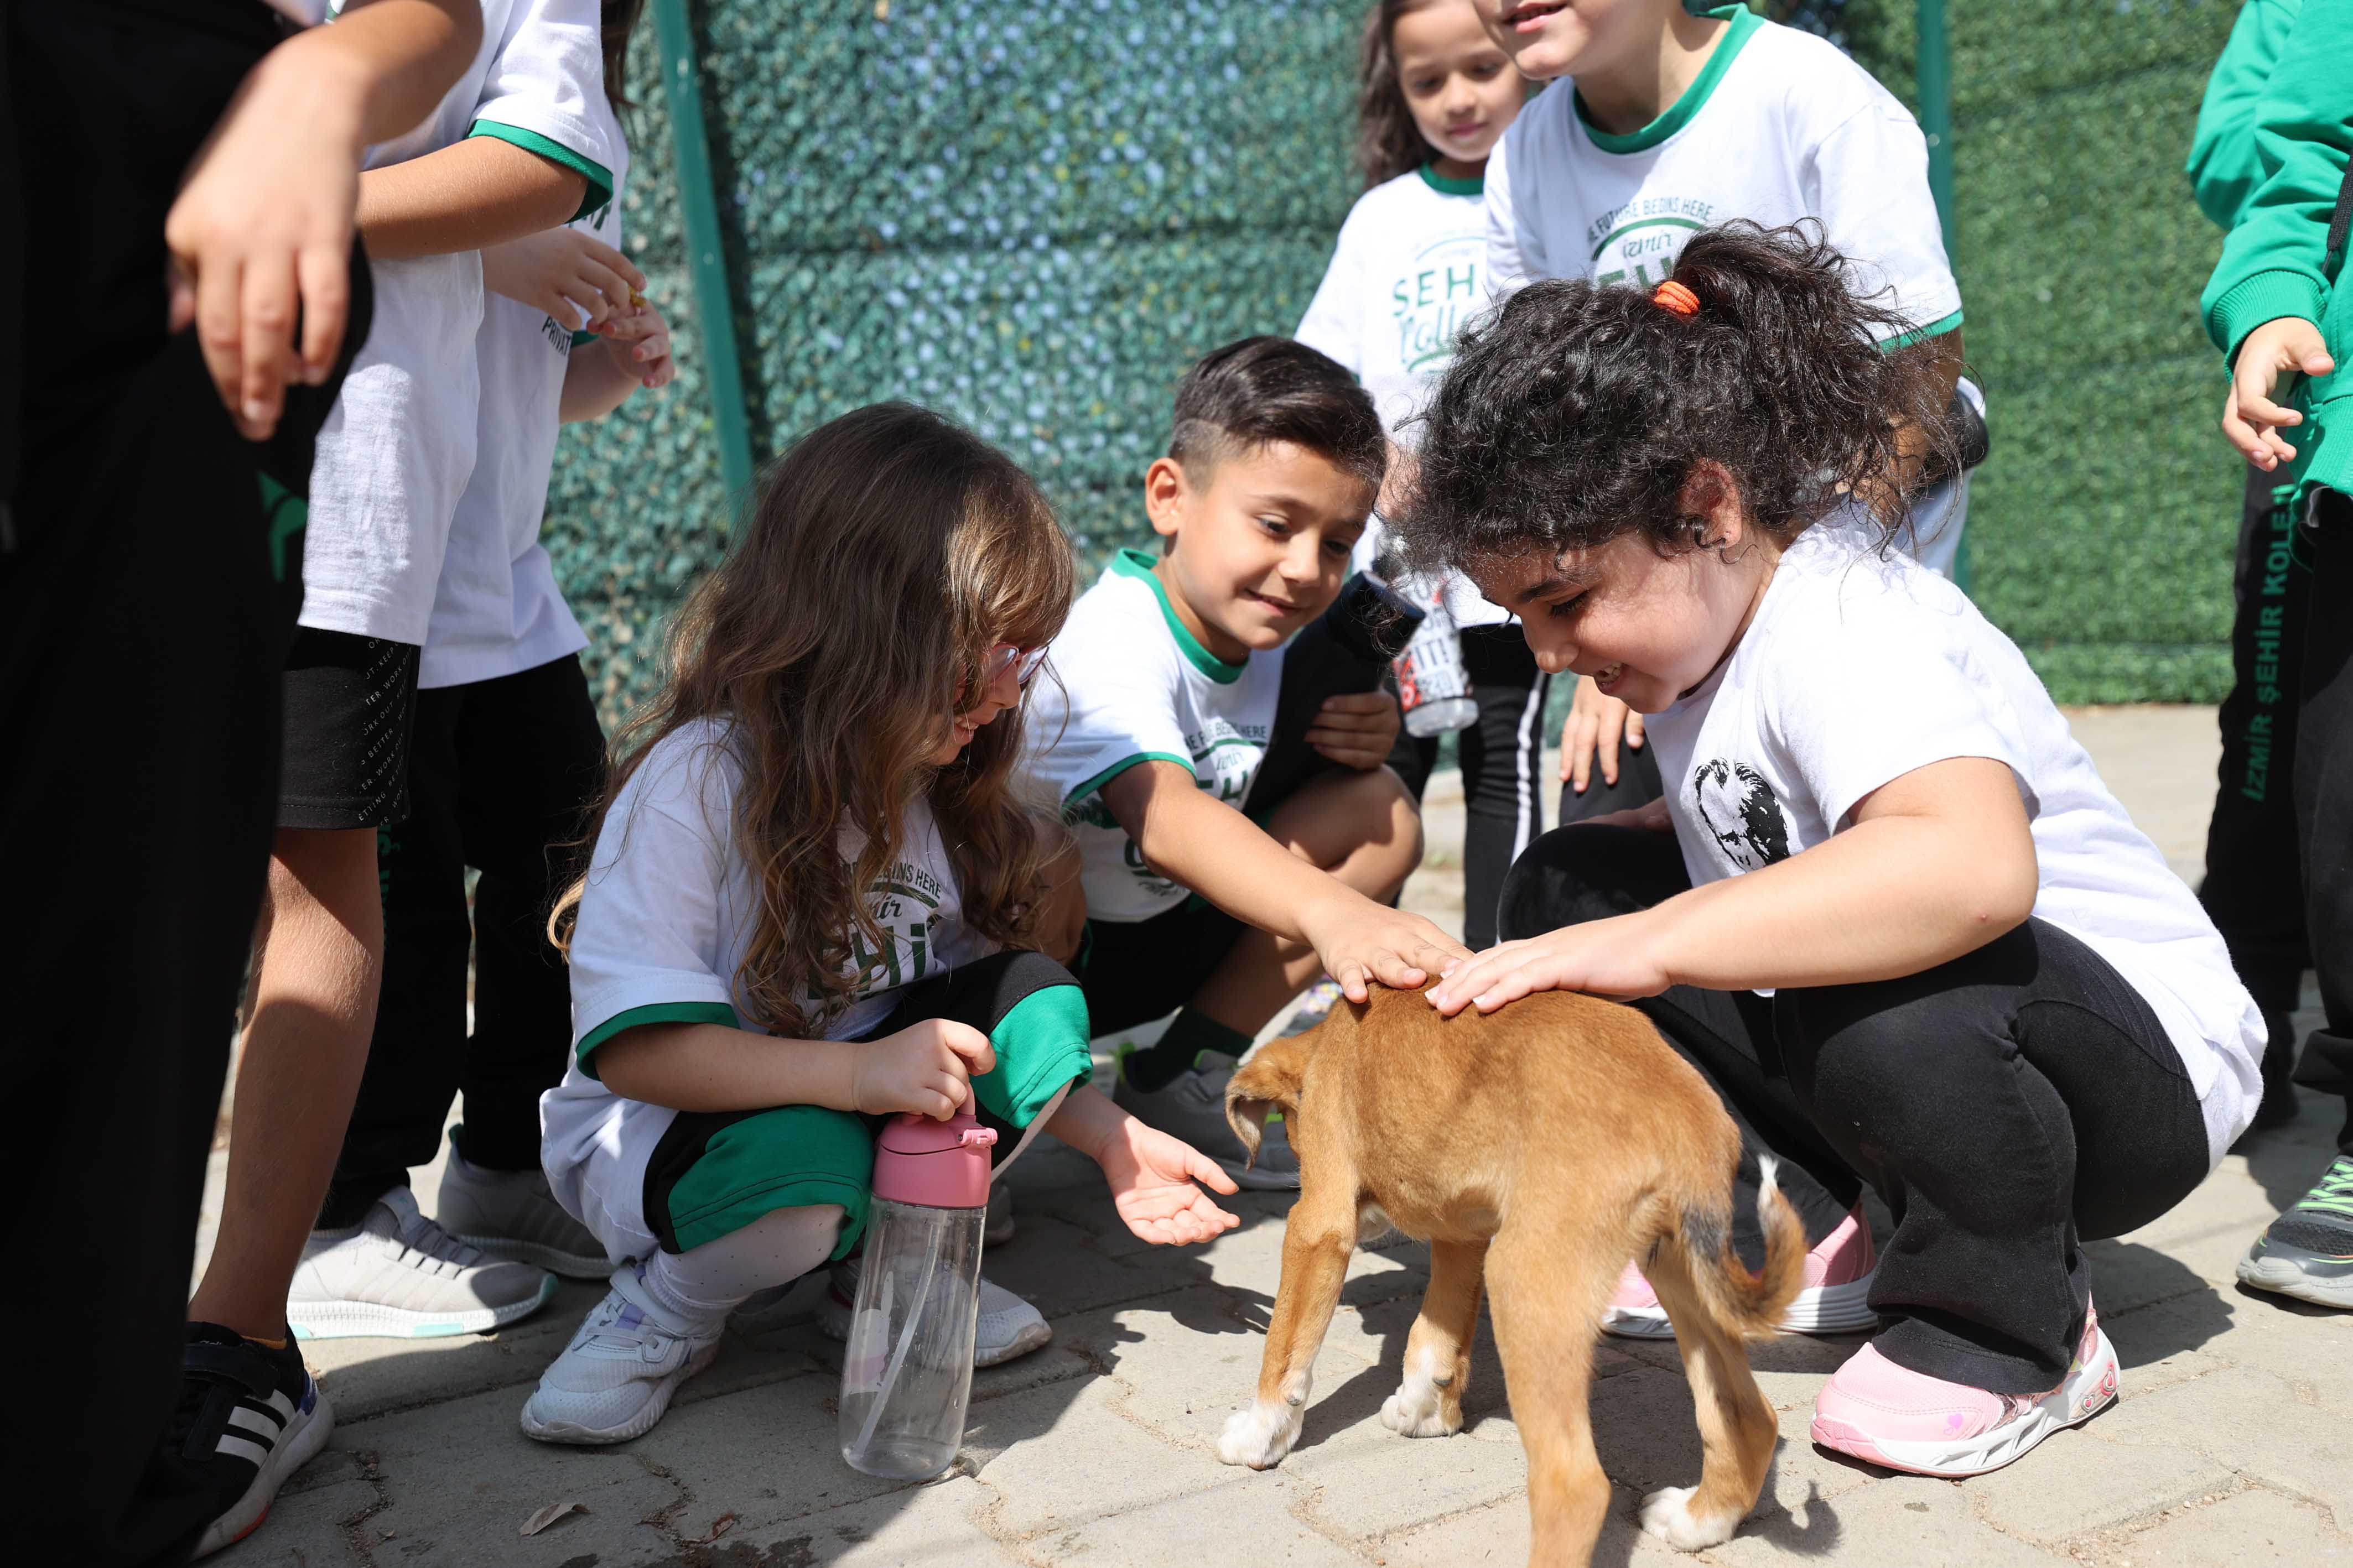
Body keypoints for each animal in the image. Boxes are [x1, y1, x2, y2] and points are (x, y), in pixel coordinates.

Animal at [1214, 987, 1798, 1561]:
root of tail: (1682, 1111)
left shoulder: (1319, 1223)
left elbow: (1285, 1347)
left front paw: (1258, 1434)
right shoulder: (1461, 1232)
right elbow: (1437, 1330)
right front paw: (1424, 1409)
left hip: (1525, 1280)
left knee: (1574, 1485)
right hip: (1680, 1271)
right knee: (1749, 1417)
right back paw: (1695, 1521)